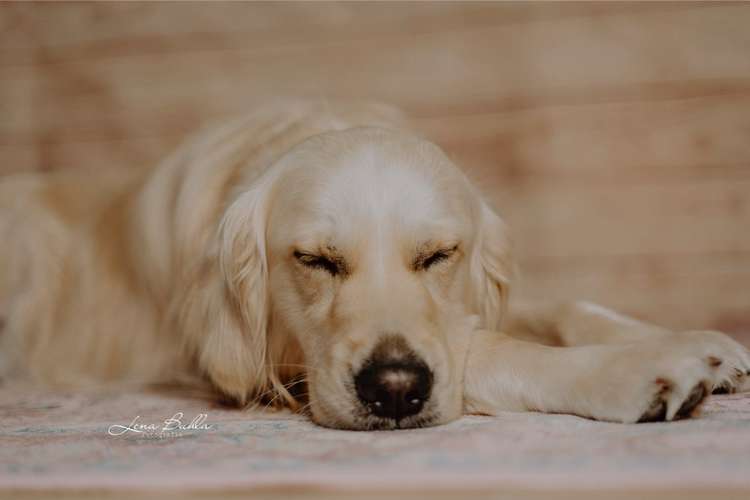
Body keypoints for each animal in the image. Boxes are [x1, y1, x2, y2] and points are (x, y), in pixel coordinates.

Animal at [0, 101, 748, 430]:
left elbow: (558, 307)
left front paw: (702, 344)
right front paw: (645, 365)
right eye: (315, 260)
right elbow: (491, 350)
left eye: (437, 255)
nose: (392, 390)